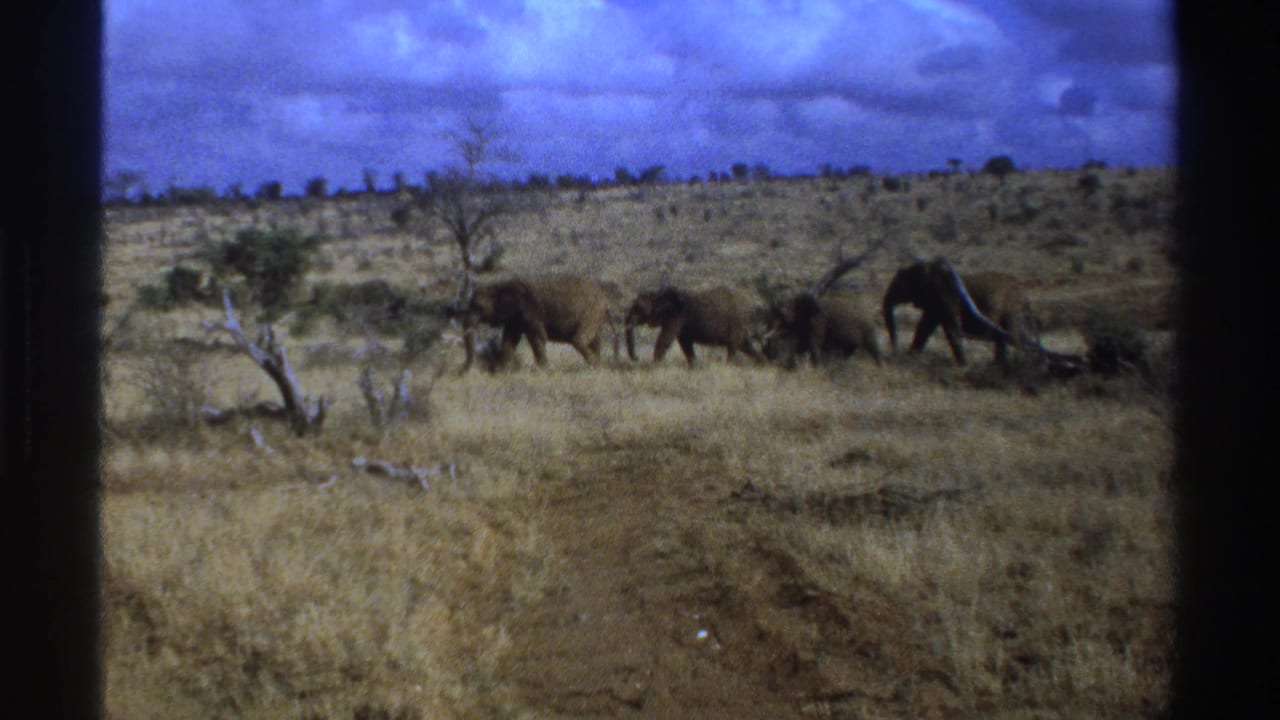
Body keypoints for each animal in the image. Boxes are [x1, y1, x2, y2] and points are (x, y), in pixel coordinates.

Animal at [450, 274, 611, 372]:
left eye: (479, 307)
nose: (462, 369)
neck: (501, 285)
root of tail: (604, 295)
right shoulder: (514, 319)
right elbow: (508, 341)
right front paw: (504, 370)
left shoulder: (530, 312)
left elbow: (538, 338)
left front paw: (544, 369)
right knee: (595, 342)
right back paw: (597, 365)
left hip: (590, 314)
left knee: (578, 340)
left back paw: (595, 365)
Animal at [624, 286, 764, 365]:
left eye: (640, 308)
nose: (637, 358)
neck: (658, 295)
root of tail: (751, 307)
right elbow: (685, 344)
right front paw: (694, 366)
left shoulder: (677, 316)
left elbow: (665, 339)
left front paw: (655, 365)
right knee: (746, 346)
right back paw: (762, 363)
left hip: (737, 323)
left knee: (733, 347)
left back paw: (729, 364)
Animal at [882, 258, 1037, 366]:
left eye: (901, 285)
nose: (894, 351)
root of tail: (1023, 294)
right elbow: (925, 328)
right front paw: (911, 356)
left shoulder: (944, 298)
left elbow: (946, 330)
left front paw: (963, 365)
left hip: (1011, 310)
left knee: (1012, 334)